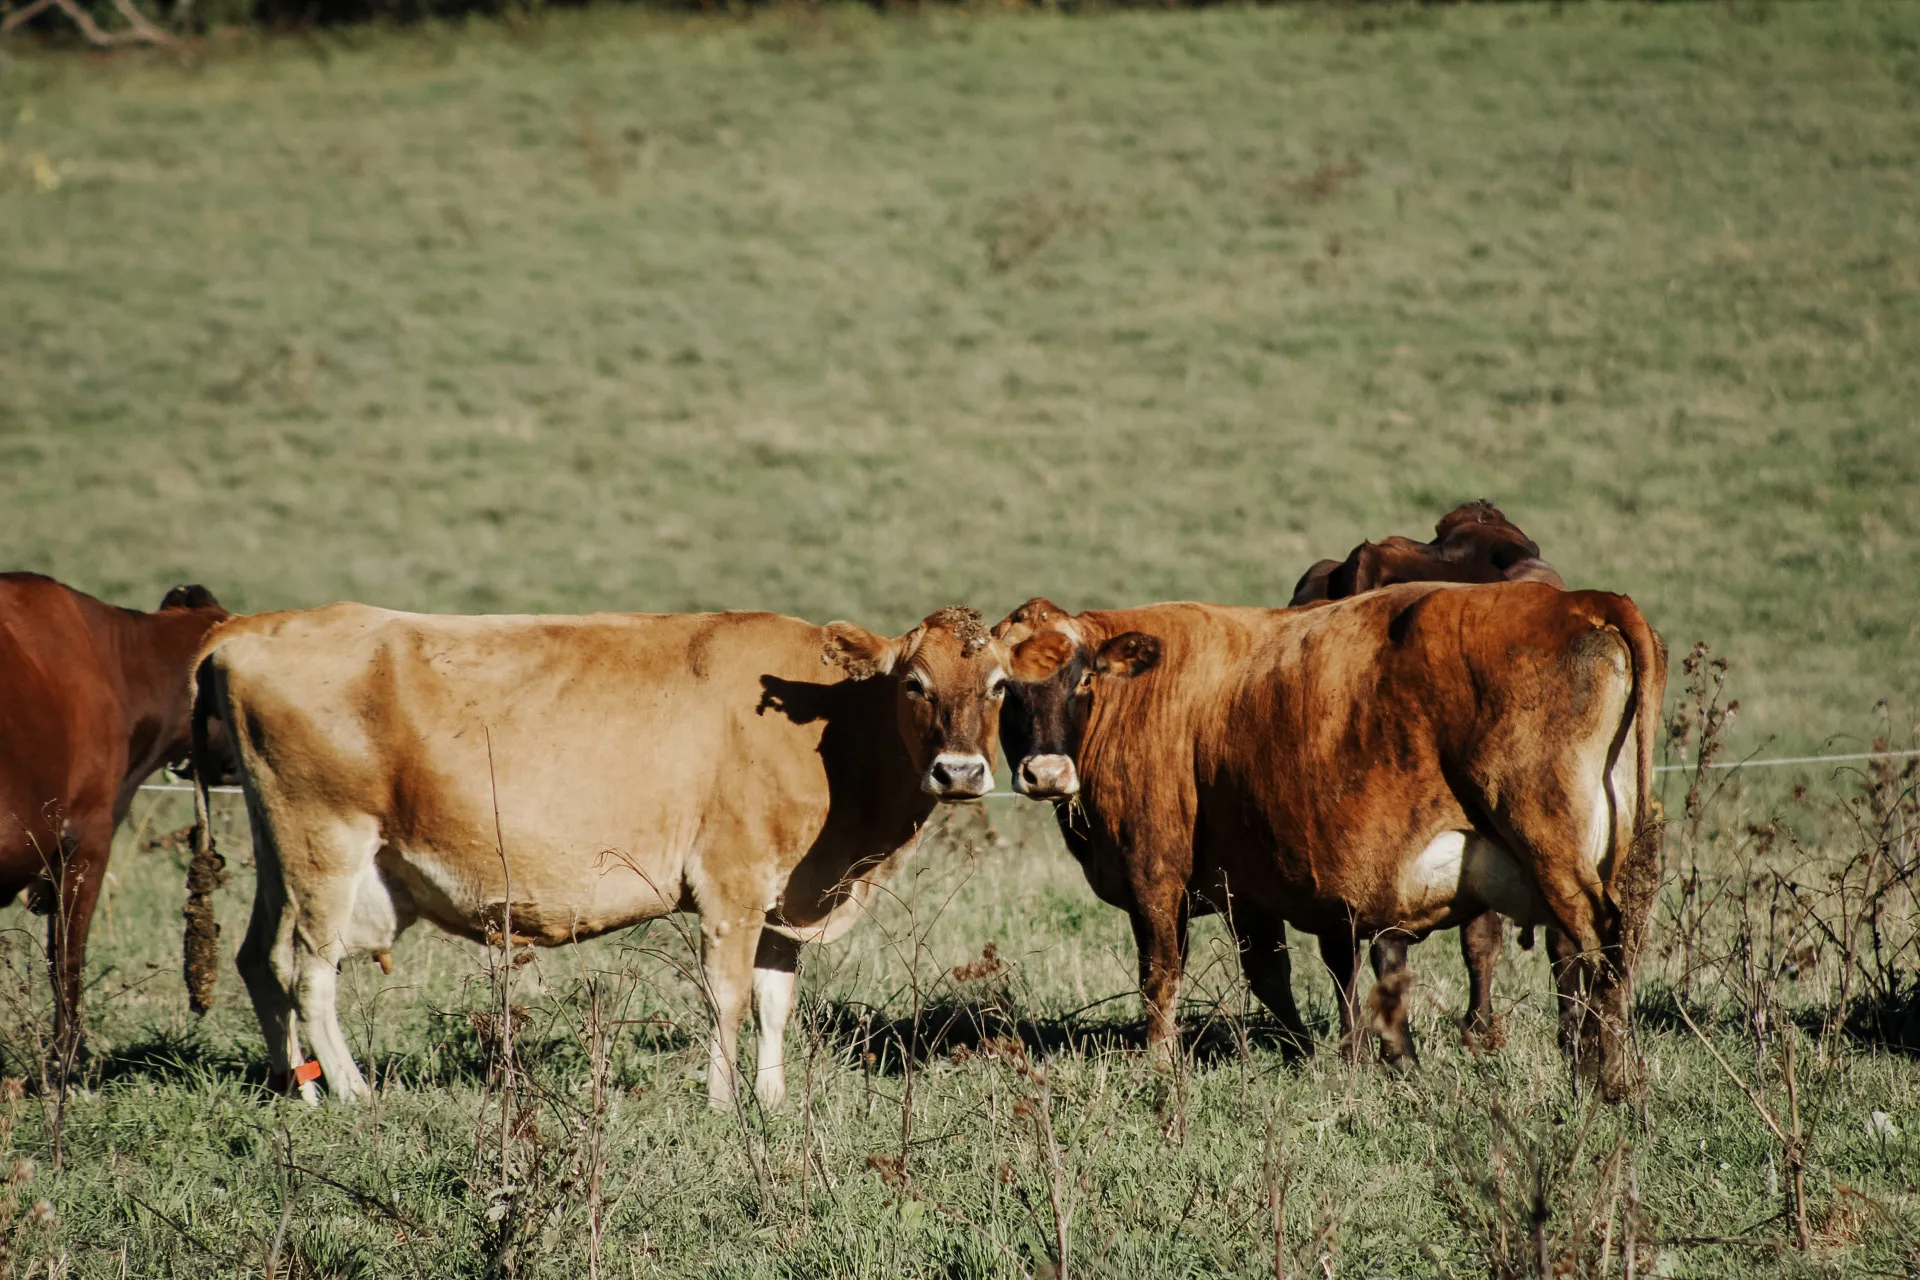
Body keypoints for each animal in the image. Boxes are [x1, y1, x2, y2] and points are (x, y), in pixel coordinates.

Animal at [189, 603, 1014, 1108]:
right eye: (915, 683)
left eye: (1001, 686)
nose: (961, 772)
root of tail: (252, 627)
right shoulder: (732, 883)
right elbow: (728, 996)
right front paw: (723, 1106)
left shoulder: (786, 896)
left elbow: (776, 1001)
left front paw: (773, 1102)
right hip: (325, 840)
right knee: (310, 973)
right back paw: (355, 1094)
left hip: (278, 848)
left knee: (260, 960)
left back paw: (300, 1090)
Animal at [997, 583, 1664, 1100]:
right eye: (1002, 686)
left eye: (1083, 680)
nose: (1045, 773)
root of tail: (1581, 600)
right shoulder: (1251, 887)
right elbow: (1272, 975)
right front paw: (1310, 1056)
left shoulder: (1153, 875)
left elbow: (1161, 977)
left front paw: (1160, 1069)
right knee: (1601, 947)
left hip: (1550, 847)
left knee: (1599, 946)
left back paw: (1608, 1078)